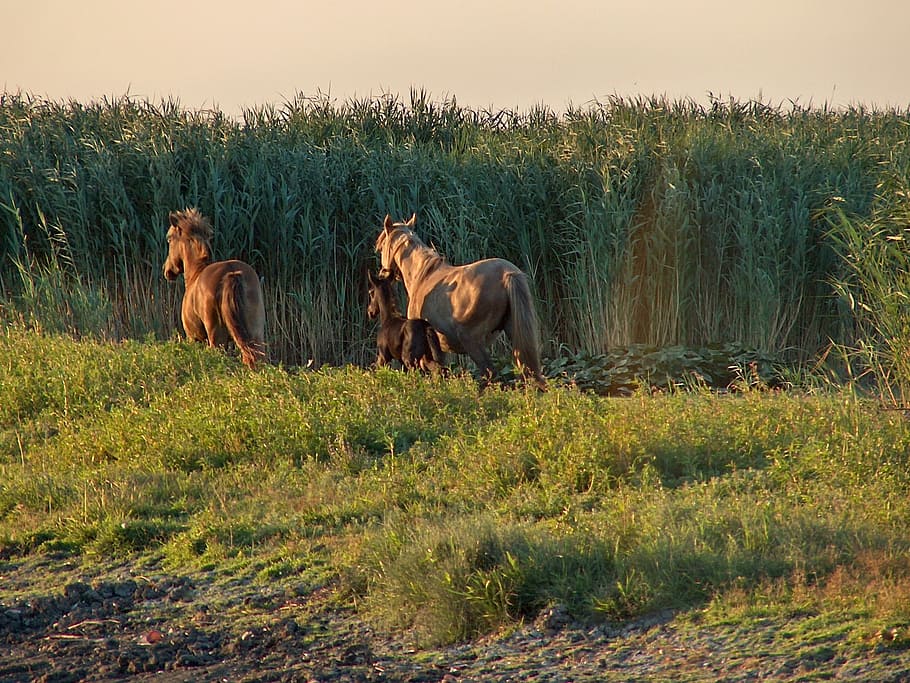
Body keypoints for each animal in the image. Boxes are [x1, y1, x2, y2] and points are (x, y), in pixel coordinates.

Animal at [162, 208, 266, 368]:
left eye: (169, 239)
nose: (167, 270)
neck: (196, 273)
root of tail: (232, 273)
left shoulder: (193, 338)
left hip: (216, 338)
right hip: (256, 334)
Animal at [375, 214, 546, 389]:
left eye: (381, 247)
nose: (382, 274)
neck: (423, 276)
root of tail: (507, 274)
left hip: (472, 342)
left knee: (491, 374)